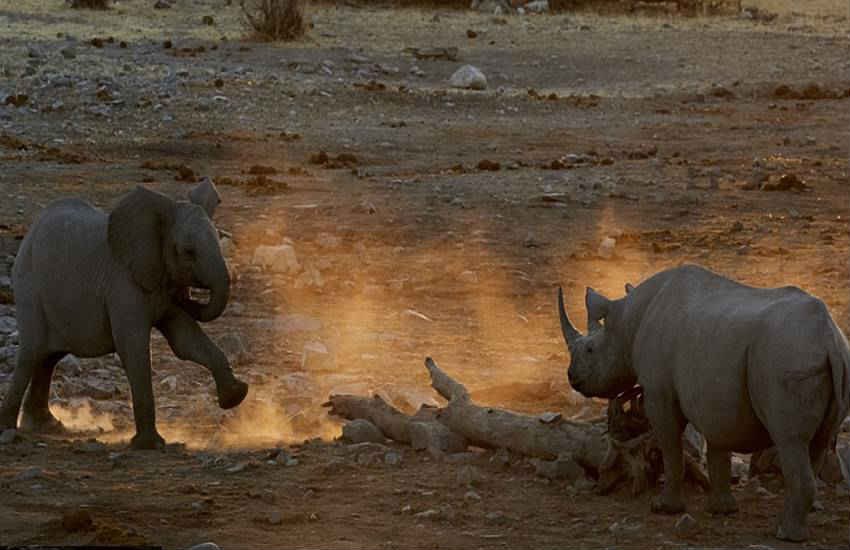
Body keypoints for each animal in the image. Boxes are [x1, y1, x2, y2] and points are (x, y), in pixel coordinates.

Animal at [0, 182, 249, 449]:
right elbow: (133, 345)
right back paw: (9, 429)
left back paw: (48, 427)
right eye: (188, 252)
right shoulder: (123, 283)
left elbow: (186, 341)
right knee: (31, 354)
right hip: (28, 287)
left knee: (48, 358)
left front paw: (236, 396)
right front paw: (150, 445)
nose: (187, 293)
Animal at [557, 264, 850, 541]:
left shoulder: (659, 393)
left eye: (590, 350)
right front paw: (721, 510)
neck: (628, 320)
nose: (572, 377)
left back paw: (786, 535)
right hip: (829, 355)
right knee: (818, 442)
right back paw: (798, 520)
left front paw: (664, 508)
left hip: (786, 357)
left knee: (790, 440)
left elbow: (671, 448)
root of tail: (828, 337)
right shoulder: (715, 398)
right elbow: (718, 448)